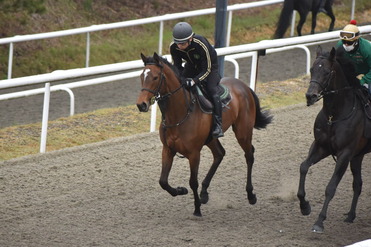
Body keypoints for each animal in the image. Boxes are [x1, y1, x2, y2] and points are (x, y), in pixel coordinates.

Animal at [137, 52, 274, 216]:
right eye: (141, 76)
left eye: (156, 77)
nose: (141, 104)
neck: (179, 114)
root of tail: (244, 86)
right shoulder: (168, 149)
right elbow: (163, 181)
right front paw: (180, 190)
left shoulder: (194, 153)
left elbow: (192, 182)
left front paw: (197, 209)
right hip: (212, 139)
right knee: (220, 154)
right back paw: (204, 193)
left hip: (243, 131)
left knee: (249, 155)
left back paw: (250, 194)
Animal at [298, 45, 371, 233]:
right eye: (312, 69)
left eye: (327, 72)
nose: (310, 96)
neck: (334, 115)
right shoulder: (321, 146)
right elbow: (303, 167)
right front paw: (304, 206)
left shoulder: (345, 153)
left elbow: (330, 187)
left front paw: (319, 221)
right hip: (358, 156)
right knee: (358, 184)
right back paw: (351, 216)